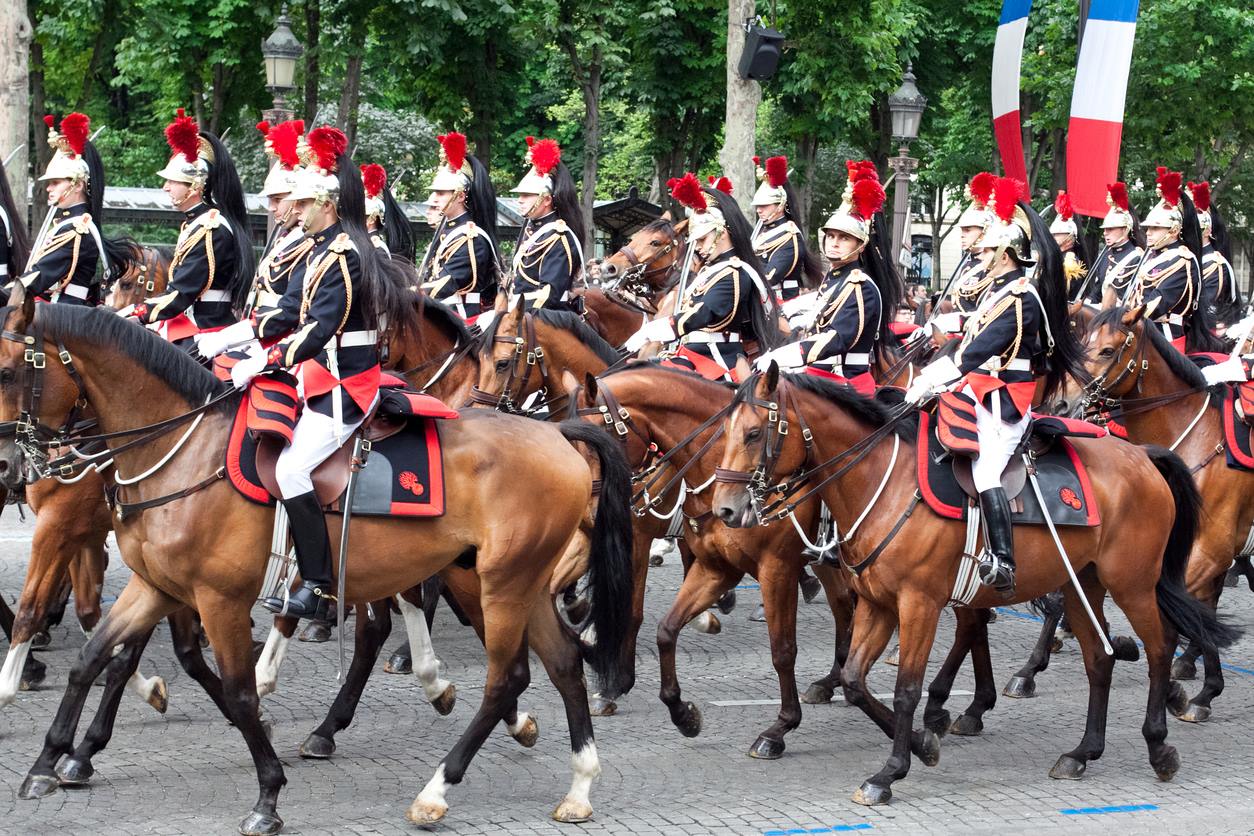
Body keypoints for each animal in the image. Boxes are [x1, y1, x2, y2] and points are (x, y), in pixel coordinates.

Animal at [2, 290, 637, 832]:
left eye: (8, 371)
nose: (11, 467)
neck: (183, 451)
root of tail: (559, 435)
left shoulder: (217, 598)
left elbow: (237, 689)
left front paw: (267, 794)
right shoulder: (154, 586)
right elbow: (93, 657)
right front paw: (48, 761)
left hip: (500, 583)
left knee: (506, 677)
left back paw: (435, 790)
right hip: (513, 580)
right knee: (561, 663)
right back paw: (578, 785)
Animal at [712, 363, 1238, 807]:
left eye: (754, 433)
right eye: (726, 432)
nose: (725, 510)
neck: (883, 483)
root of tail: (1141, 456)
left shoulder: (919, 604)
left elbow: (907, 689)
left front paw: (891, 771)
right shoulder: (878, 604)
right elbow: (855, 681)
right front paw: (922, 744)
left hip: (1132, 582)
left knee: (1159, 648)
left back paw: (1160, 745)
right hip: (1080, 585)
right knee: (1099, 659)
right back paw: (1082, 752)